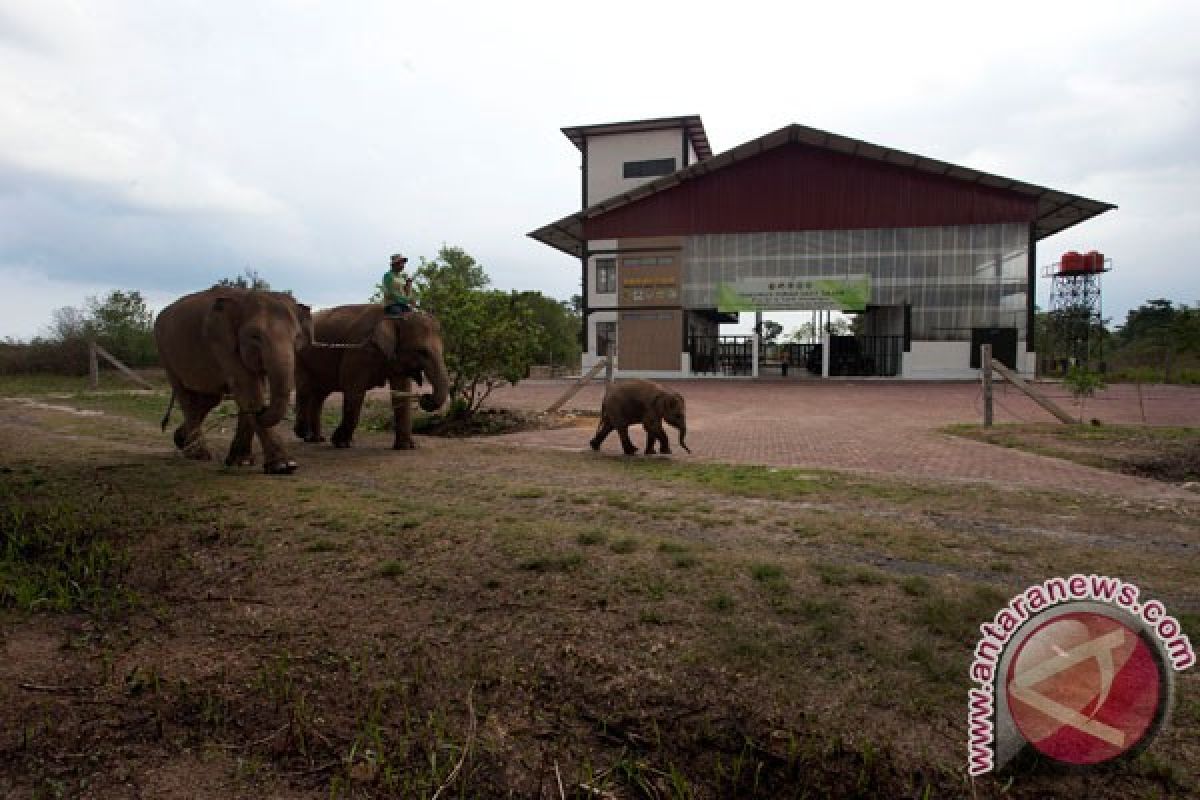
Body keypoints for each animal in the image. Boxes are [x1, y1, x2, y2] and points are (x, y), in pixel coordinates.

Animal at [154, 287, 314, 474]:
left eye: (296, 338)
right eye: (255, 336)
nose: (262, 410)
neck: (246, 295)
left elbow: (252, 388)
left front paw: (241, 462)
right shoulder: (220, 342)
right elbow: (248, 388)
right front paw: (284, 466)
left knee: (209, 399)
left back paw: (181, 440)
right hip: (164, 352)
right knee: (186, 396)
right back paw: (198, 454)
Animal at [295, 304, 451, 448]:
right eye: (421, 351)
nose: (425, 396)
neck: (394, 317)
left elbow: (401, 392)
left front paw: (405, 447)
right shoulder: (360, 350)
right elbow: (353, 390)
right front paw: (340, 443)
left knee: (320, 395)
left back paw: (317, 439)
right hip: (299, 357)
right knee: (305, 390)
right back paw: (305, 435)